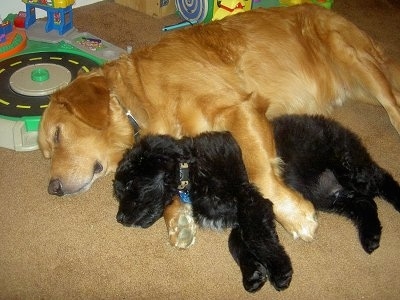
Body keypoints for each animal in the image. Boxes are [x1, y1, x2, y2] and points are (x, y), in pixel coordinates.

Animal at [114, 132, 292, 292]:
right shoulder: (240, 215)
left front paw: (279, 270)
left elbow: (255, 237)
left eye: (130, 184)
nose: (119, 218)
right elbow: (236, 242)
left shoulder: (251, 202)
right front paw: (252, 274)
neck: (191, 171)